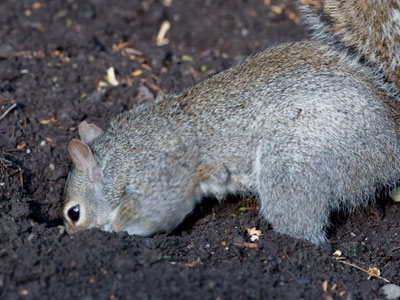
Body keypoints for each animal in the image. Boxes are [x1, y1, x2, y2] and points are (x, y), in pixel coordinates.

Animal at [61, 0, 400, 244]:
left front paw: (117, 231)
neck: (118, 162)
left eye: (73, 213)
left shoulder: (160, 181)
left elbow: (159, 215)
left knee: (302, 222)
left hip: (293, 163)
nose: (71, 237)